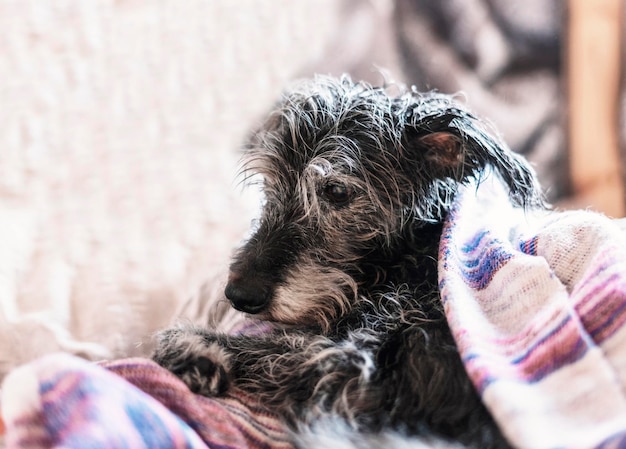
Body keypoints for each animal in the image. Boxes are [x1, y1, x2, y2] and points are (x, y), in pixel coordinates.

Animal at [151, 75, 540, 446]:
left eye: (336, 191)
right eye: (269, 183)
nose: (239, 295)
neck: (410, 260)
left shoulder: (351, 365)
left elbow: (254, 346)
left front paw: (193, 349)